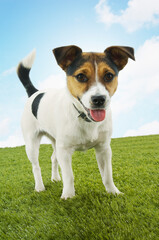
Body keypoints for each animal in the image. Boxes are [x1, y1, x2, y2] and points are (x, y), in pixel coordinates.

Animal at [17, 44, 134, 199]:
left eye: (109, 75)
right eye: (80, 76)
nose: (99, 99)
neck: (85, 118)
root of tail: (35, 92)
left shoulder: (104, 148)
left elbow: (108, 175)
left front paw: (113, 192)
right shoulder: (65, 150)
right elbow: (69, 176)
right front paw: (68, 196)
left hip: (55, 141)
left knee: (53, 158)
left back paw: (55, 178)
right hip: (32, 143)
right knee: (36, 166)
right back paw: (39, 187)